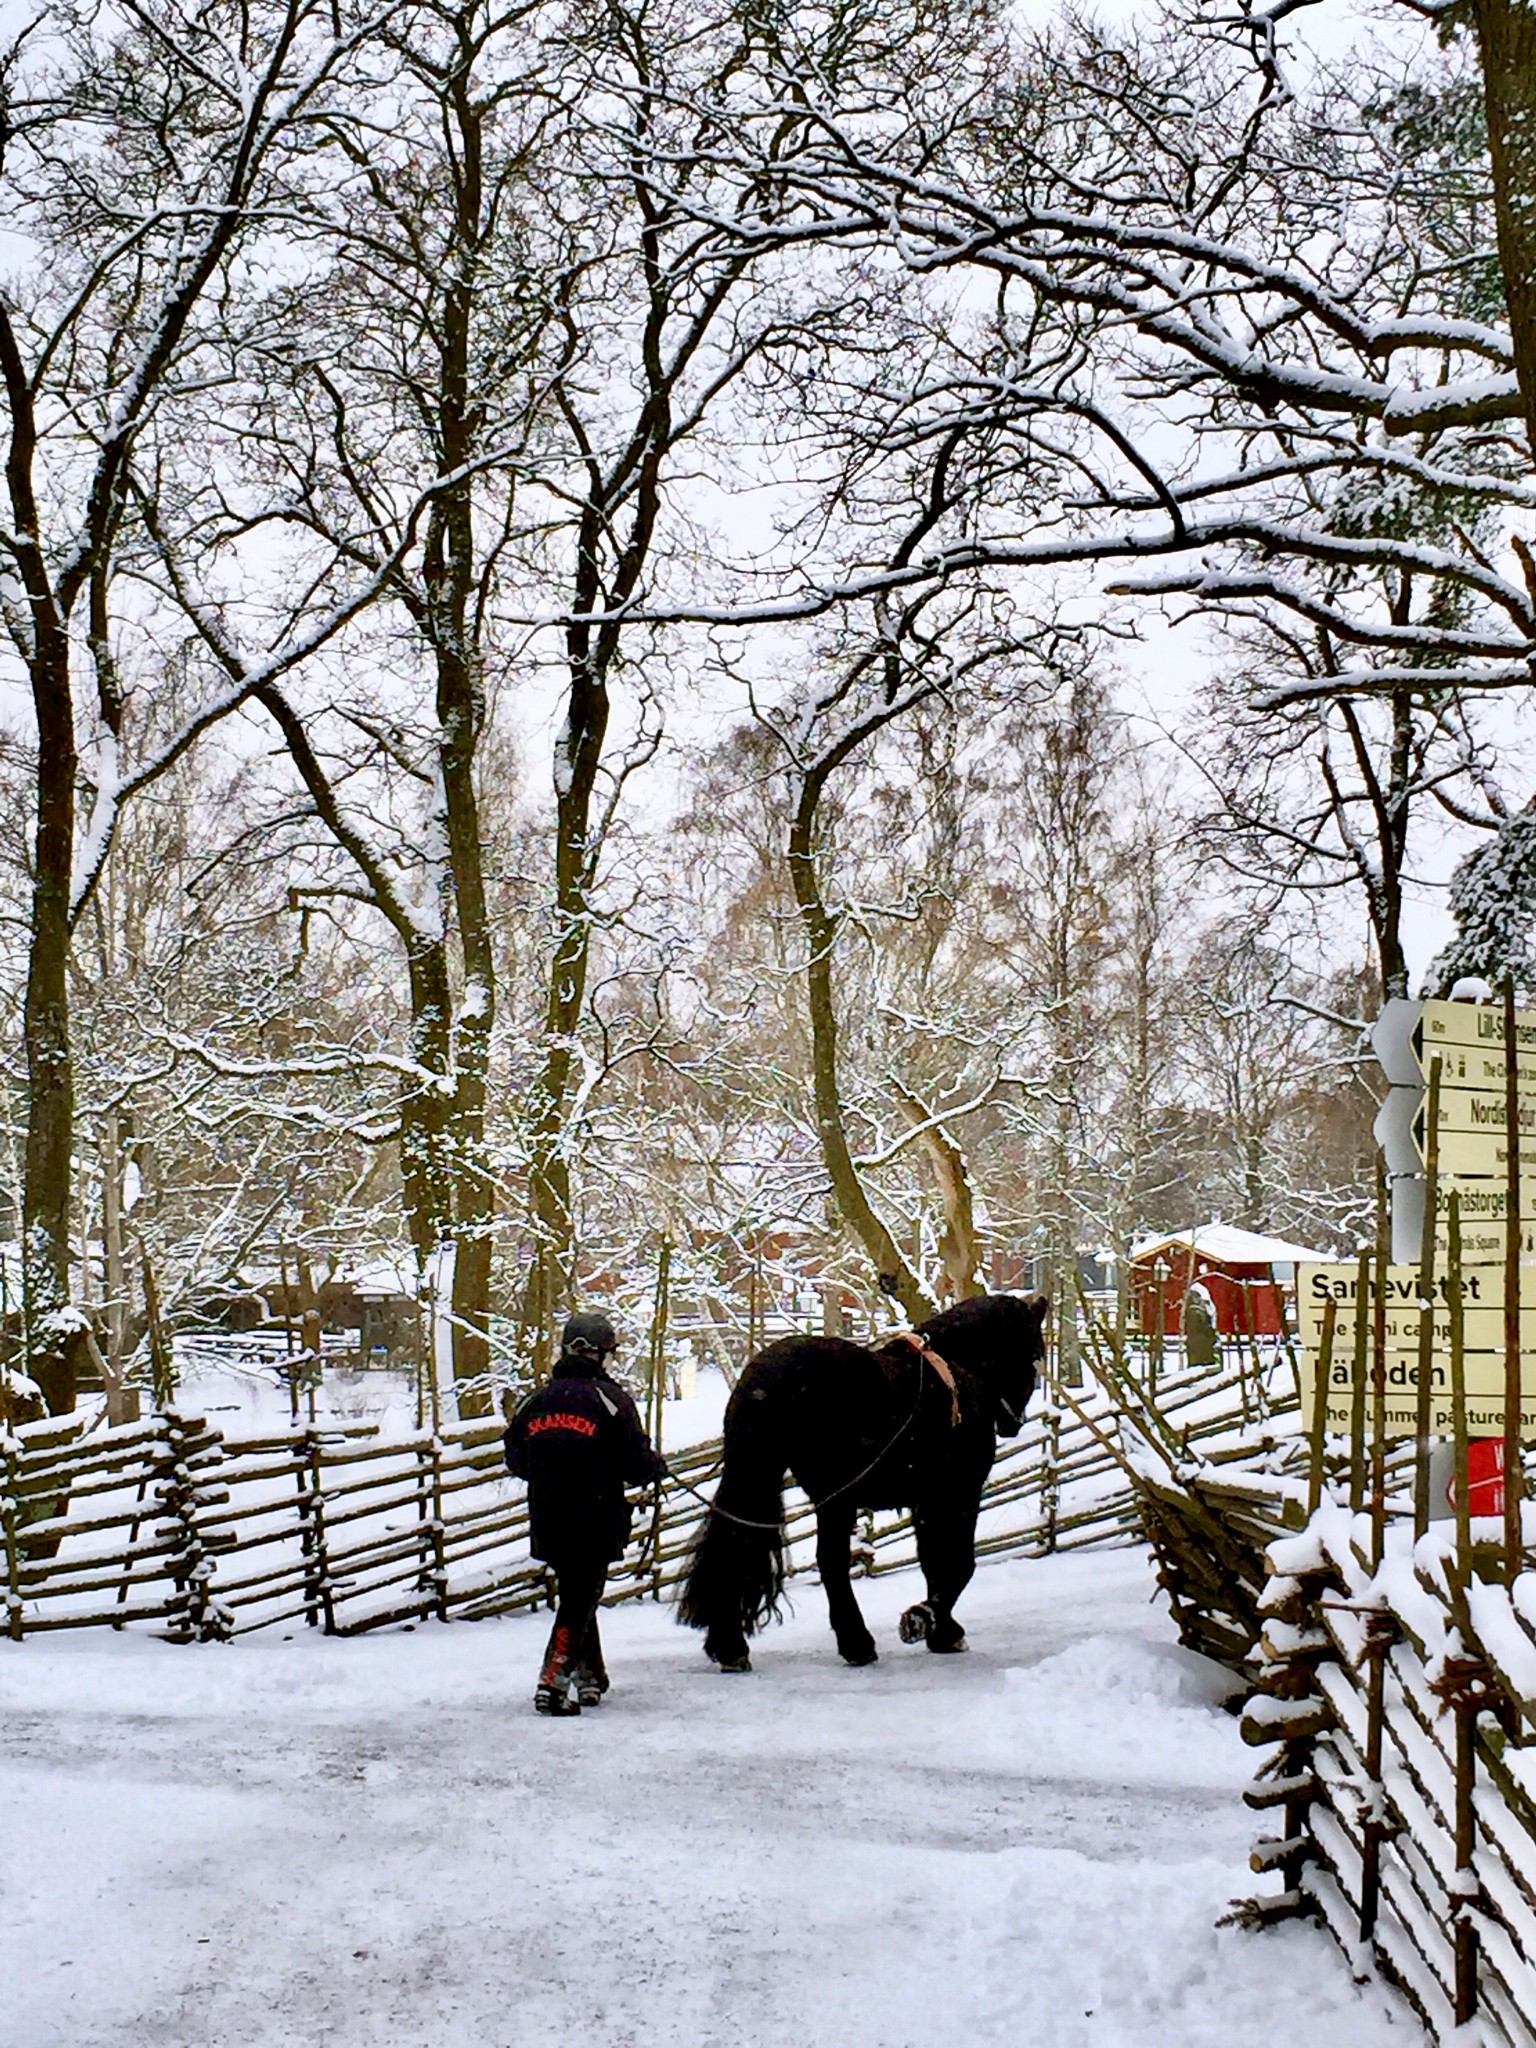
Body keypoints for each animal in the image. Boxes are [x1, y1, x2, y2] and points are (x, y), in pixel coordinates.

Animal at [679, 1294, 1056, 1662]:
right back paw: (855, 1642)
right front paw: (928, 1621)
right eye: (1034, 1355)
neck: (957, 1372)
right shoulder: (958, 1494)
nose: (1012, 1424)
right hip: (834, 1497)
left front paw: (939, 1629)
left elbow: (932, 1561)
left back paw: (729, 1643)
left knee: (737, 1544)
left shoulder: (925, 1501)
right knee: (830, 1561)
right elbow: (958, 1563)